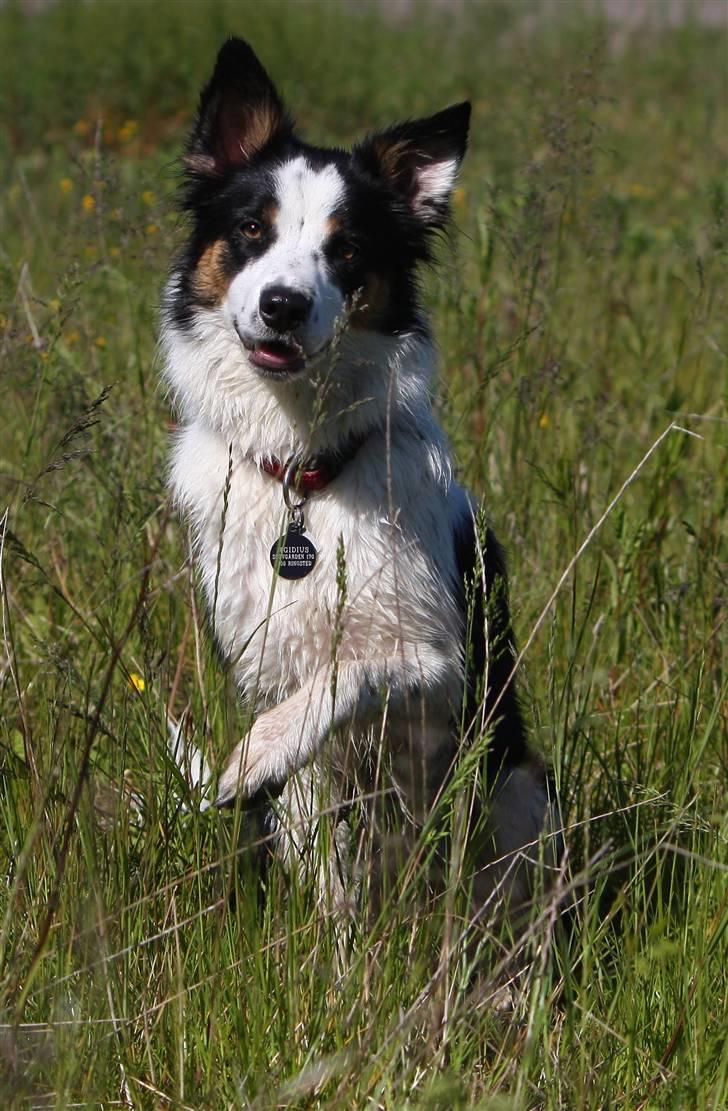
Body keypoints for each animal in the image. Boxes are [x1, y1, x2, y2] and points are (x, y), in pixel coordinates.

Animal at [162, 36, 555, 919]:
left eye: (345, 250)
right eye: (251, 229)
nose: (281, 304)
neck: (305, 469)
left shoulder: (444, 665)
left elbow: (349, 670)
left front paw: (256, 750)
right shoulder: (266, 665)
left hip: (519, 789)